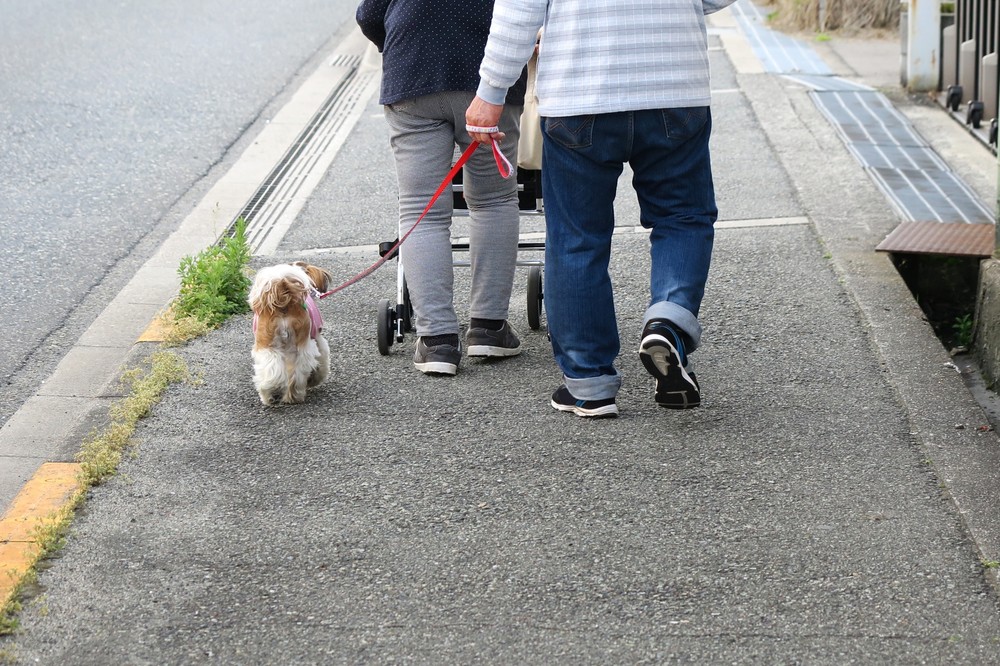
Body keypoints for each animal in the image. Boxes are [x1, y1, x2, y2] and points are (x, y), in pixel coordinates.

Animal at [247, 260, 332, 404]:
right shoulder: (318, 338)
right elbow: (323, 360)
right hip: (299, 345)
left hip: (268, 346)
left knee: (274, 370)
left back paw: (276, 393)